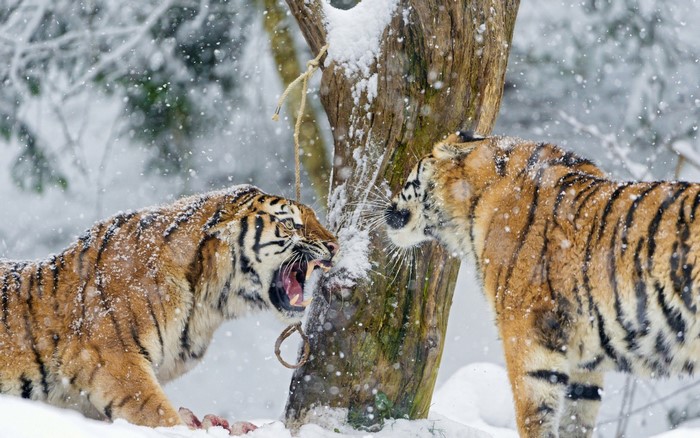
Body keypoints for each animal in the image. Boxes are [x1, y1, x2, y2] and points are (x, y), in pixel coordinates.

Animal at [384, 131, 700, 437]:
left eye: (410, 175)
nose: (388, 206)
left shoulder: (526, 334)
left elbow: (534, 417)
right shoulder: (585, 361)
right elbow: (577, 420)